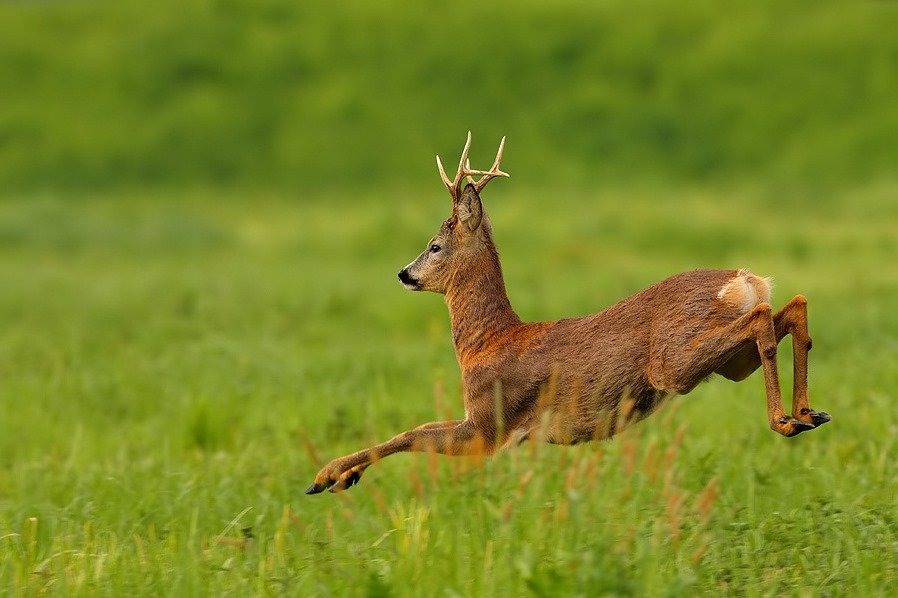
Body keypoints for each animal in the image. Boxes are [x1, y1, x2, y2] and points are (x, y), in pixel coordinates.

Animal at [304, 134, 828, 494]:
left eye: (434, 245)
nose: (404, 273)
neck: (486, 343)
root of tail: (744, 278)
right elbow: (414, 431)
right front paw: (338, 476)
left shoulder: (489, 424)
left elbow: (411, 433)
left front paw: (327, 476)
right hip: (730, 362)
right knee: (792, 307)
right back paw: (808, 412)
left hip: (674, 360)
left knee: (764, 316)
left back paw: (786, 420)